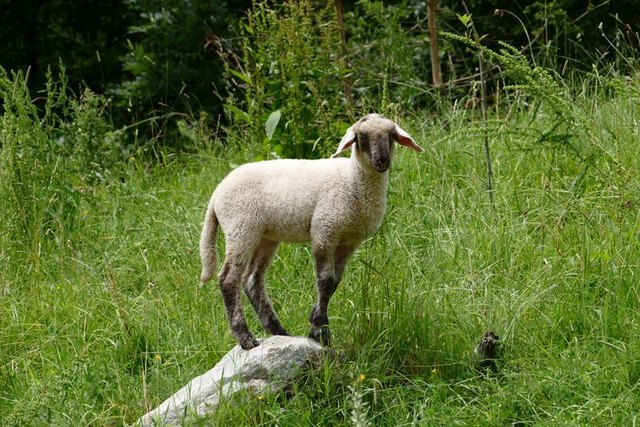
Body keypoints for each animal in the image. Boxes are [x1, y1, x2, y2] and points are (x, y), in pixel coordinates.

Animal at [200, 114, 424, 350]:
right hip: (241, 228)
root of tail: (217, 191)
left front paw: (314, 320)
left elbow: (335, 282)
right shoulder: (324, 231)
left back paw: (278, 330)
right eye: (362, 136)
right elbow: (325, 281)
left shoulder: (348, 242)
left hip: (265, 235)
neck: (353, 180)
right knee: (228, 279)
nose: (382, 161)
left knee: (252, 279)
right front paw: (320, 331)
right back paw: (246, 338)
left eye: (391, 135)